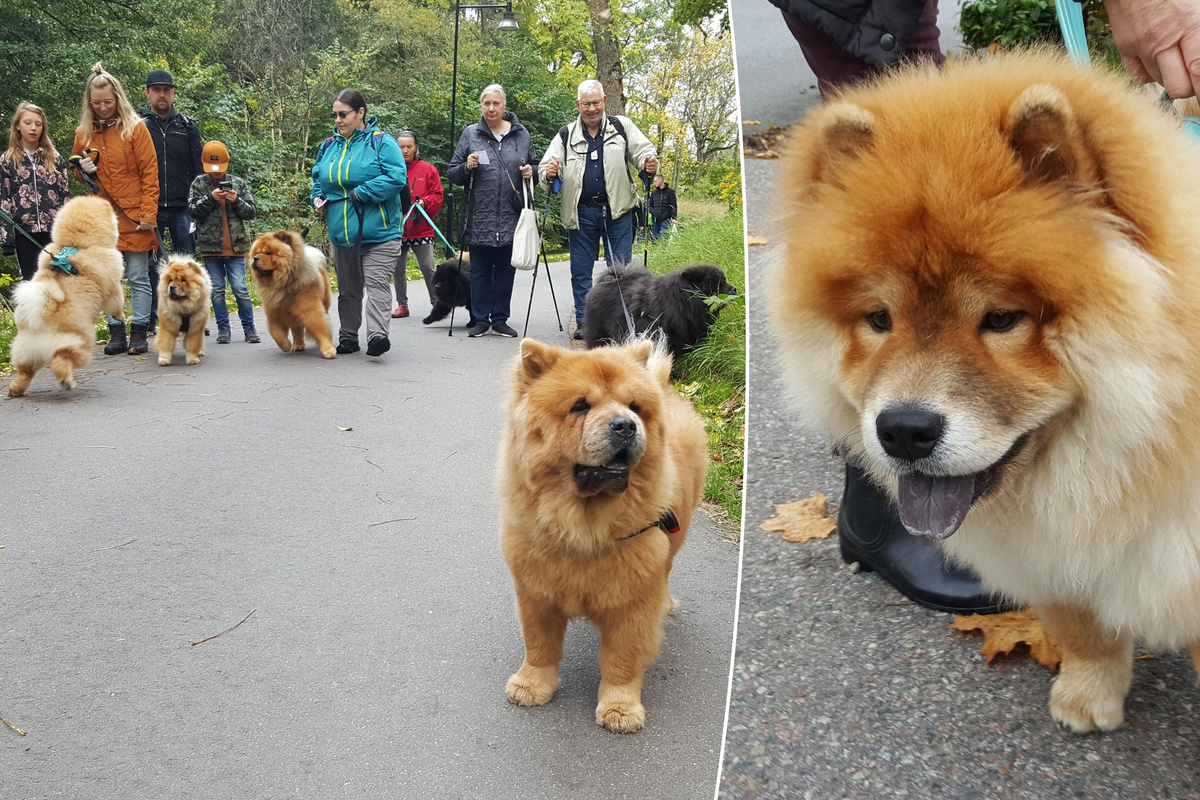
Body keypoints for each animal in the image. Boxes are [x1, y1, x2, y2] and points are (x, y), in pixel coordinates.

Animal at [7, 196, 124, 398]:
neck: (76, 246)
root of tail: (44, 312)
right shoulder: (113, 285)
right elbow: (117, 302)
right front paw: (121, 316)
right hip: (79, 343)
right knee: (61, 359)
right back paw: (66, 381)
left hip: (25, 349)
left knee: (25, 372)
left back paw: (15, 390)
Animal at [499, 338, 705, 734]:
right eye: (580, 406)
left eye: (634, 407)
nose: (626, 425)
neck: (585, 527)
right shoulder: (534, 591)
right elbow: (539, 644)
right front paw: (531, 686)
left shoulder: (633, 605)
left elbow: (622, 659)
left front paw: (620, 709)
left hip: (673, 540)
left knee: (667, 570)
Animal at [768, 51, 1200, 738]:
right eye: (879, 319)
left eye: (1001, 319)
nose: (904, 429)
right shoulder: (1053, 556)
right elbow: (1084, 630)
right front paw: (1088, 695)